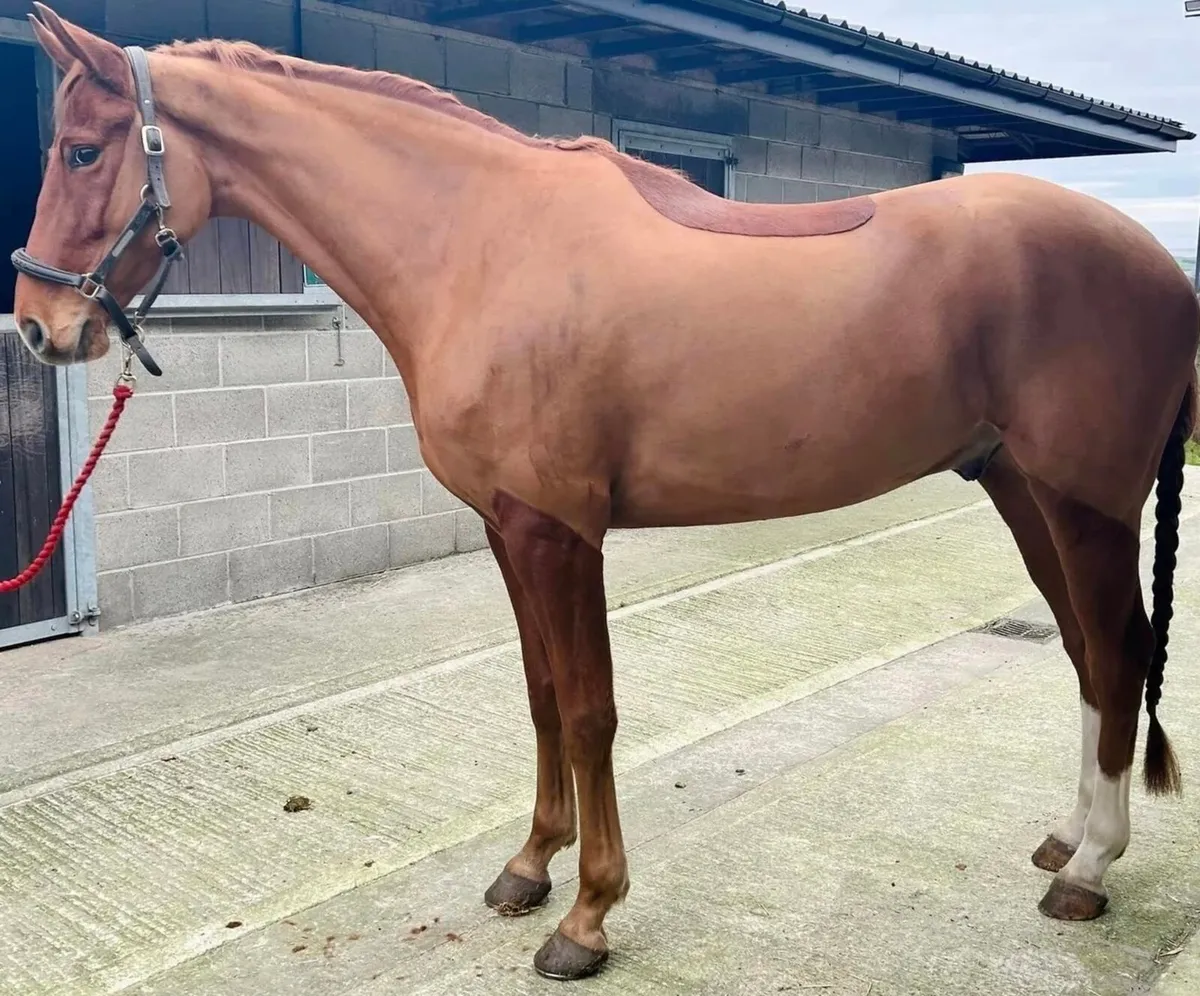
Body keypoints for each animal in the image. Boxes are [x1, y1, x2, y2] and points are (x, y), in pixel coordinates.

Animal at [12, 4, 1198, 981]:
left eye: (81, 148)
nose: (38, 327)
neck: (478, 244)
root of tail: (1163, 266)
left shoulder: (559, 530)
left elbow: (589, 712)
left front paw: (587, 916)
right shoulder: (509, 528)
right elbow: (541, 697)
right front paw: (530, 865)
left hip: (1087, 502)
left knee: (1116, 652)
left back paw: (1090, 869)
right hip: (1020, 487)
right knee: (1088, 655)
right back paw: (1067, 837)